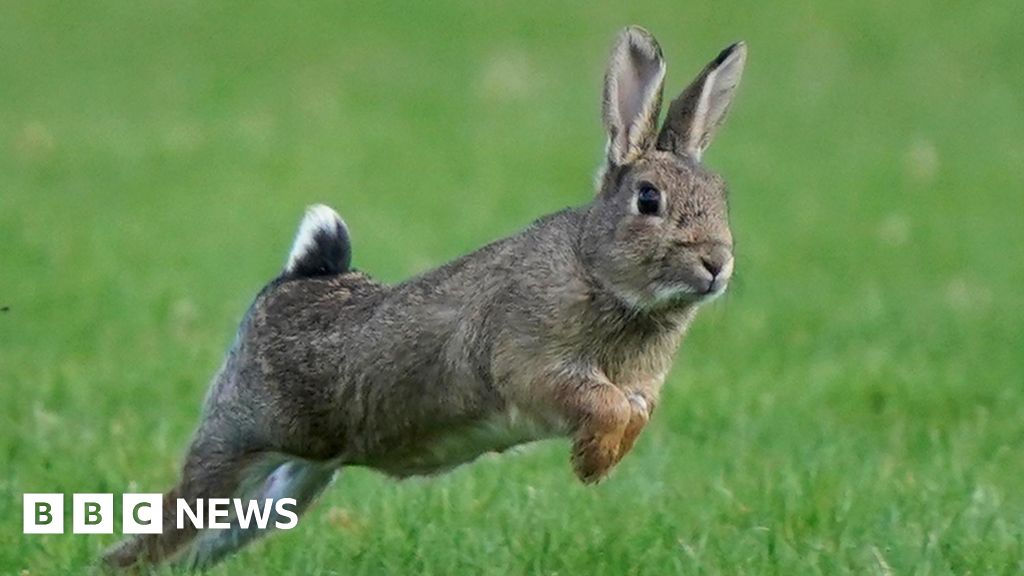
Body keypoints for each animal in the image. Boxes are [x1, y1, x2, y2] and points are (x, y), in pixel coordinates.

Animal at [102, 26, 746, 571]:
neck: (596, 272)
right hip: (235, 442)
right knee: (165, 526)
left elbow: (632, 413)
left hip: (293, 481)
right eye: (648, 199)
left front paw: (597, 463)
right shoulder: (532, 363)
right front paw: (590, 464)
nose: (717, 263)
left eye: (721, 194)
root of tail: (298, 277)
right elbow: (602, 404)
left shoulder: (637, 387)